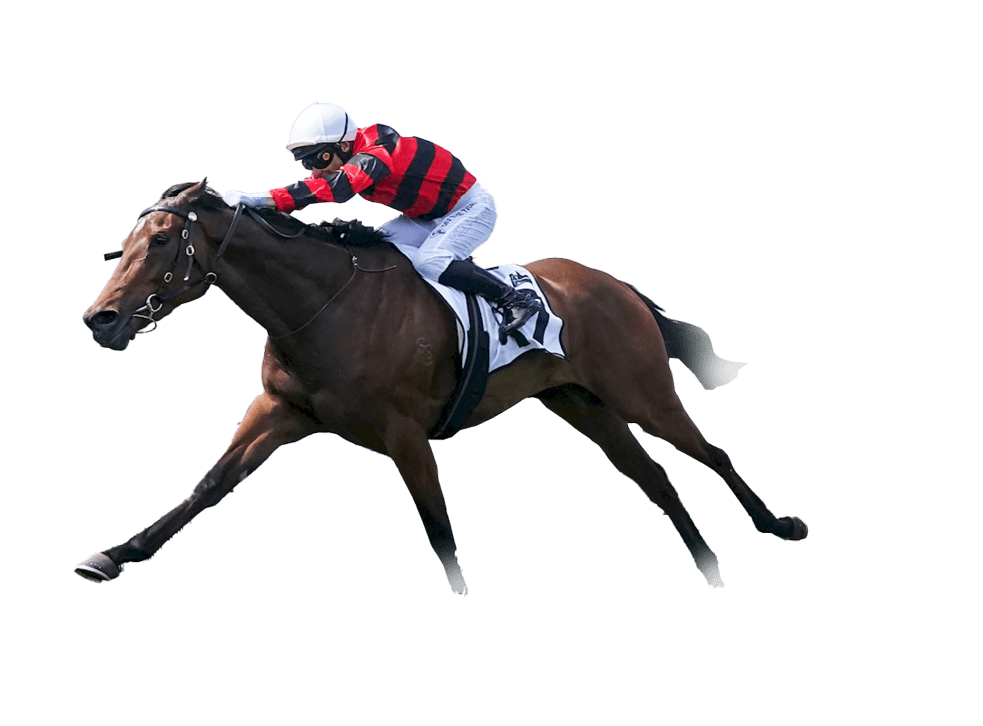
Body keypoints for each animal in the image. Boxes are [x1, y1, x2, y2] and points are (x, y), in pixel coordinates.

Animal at [77, 179, 812, 596]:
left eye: (163, 240)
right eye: (125, 241)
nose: (100, 318)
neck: (323, 305)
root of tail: (614, 284)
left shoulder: (404, 430)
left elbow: (437, 525)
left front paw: (461, 597)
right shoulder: (282, 409)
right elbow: (208, 486)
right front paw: (116, 553)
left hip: (642, 393)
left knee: (711, 454)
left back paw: (777, 524)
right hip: (583, 405)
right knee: (654, 478)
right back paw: (708, 566)